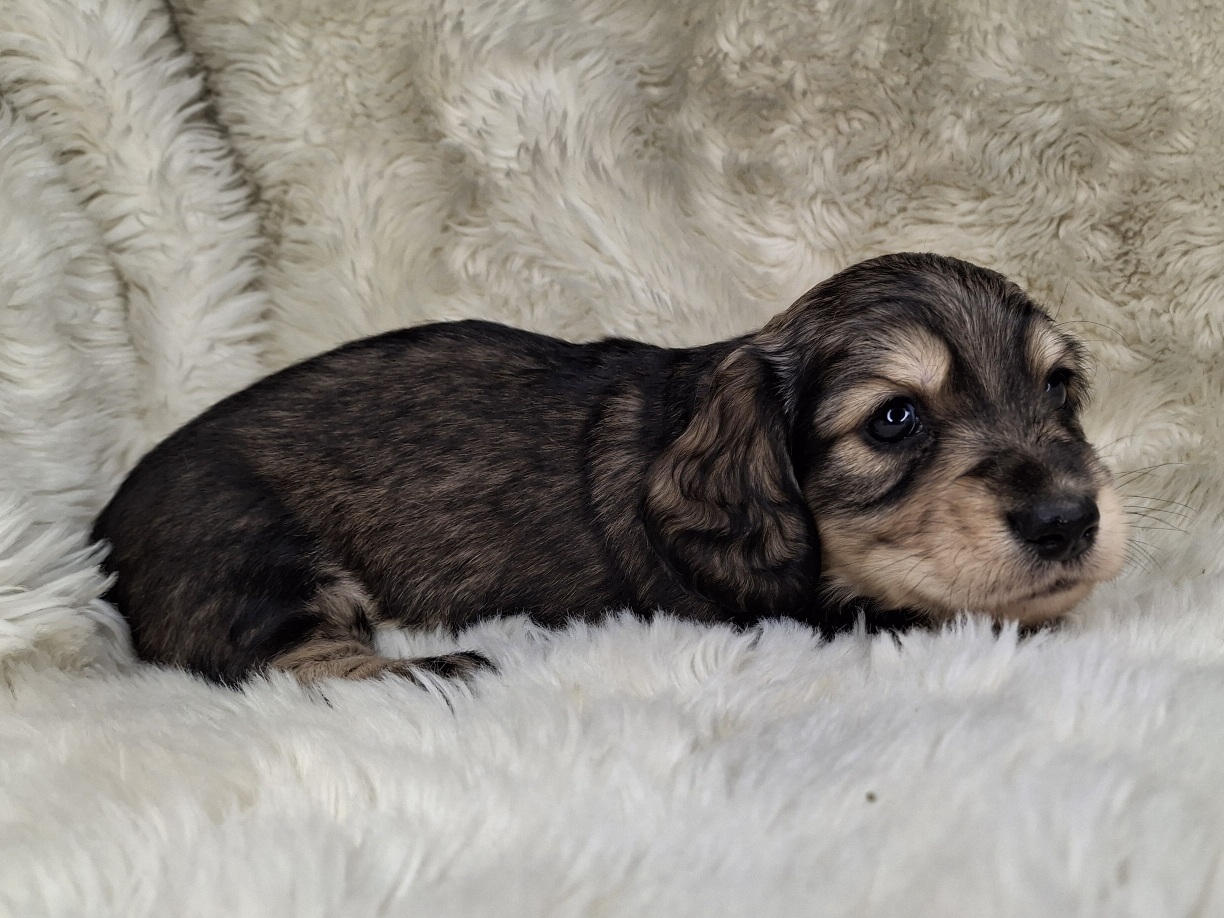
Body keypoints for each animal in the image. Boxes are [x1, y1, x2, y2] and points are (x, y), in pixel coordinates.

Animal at [92, 253, 1128, 685]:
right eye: (896, 419)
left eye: (1060, 388)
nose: (1070, 520)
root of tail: (104, 520)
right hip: (251, 554)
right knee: (274, 665)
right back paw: (434, 669)